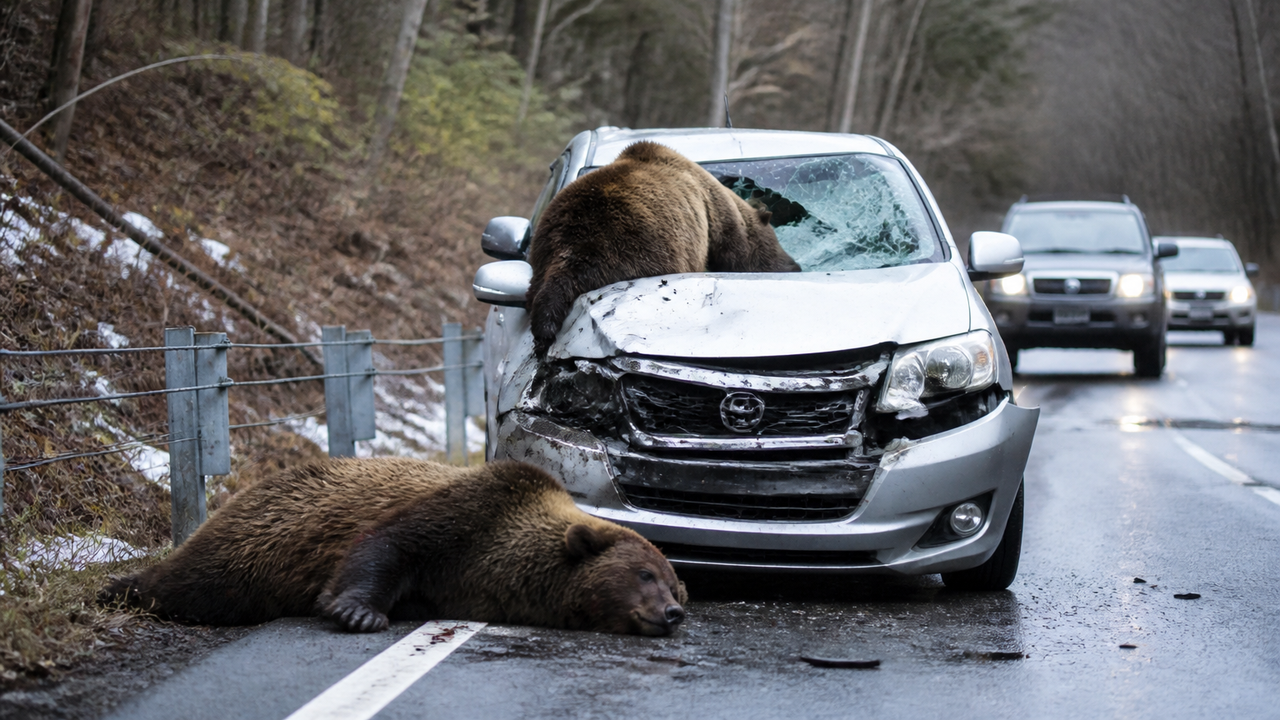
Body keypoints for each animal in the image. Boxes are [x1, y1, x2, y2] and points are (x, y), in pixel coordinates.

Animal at [99, 458, 687, 636]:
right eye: (644, 573)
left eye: (674, 582)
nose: (673, 613)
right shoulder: (467, 513)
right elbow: (385, 546)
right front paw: (357, 611)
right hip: (253, 540)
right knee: (200, 582)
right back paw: (120, 587)